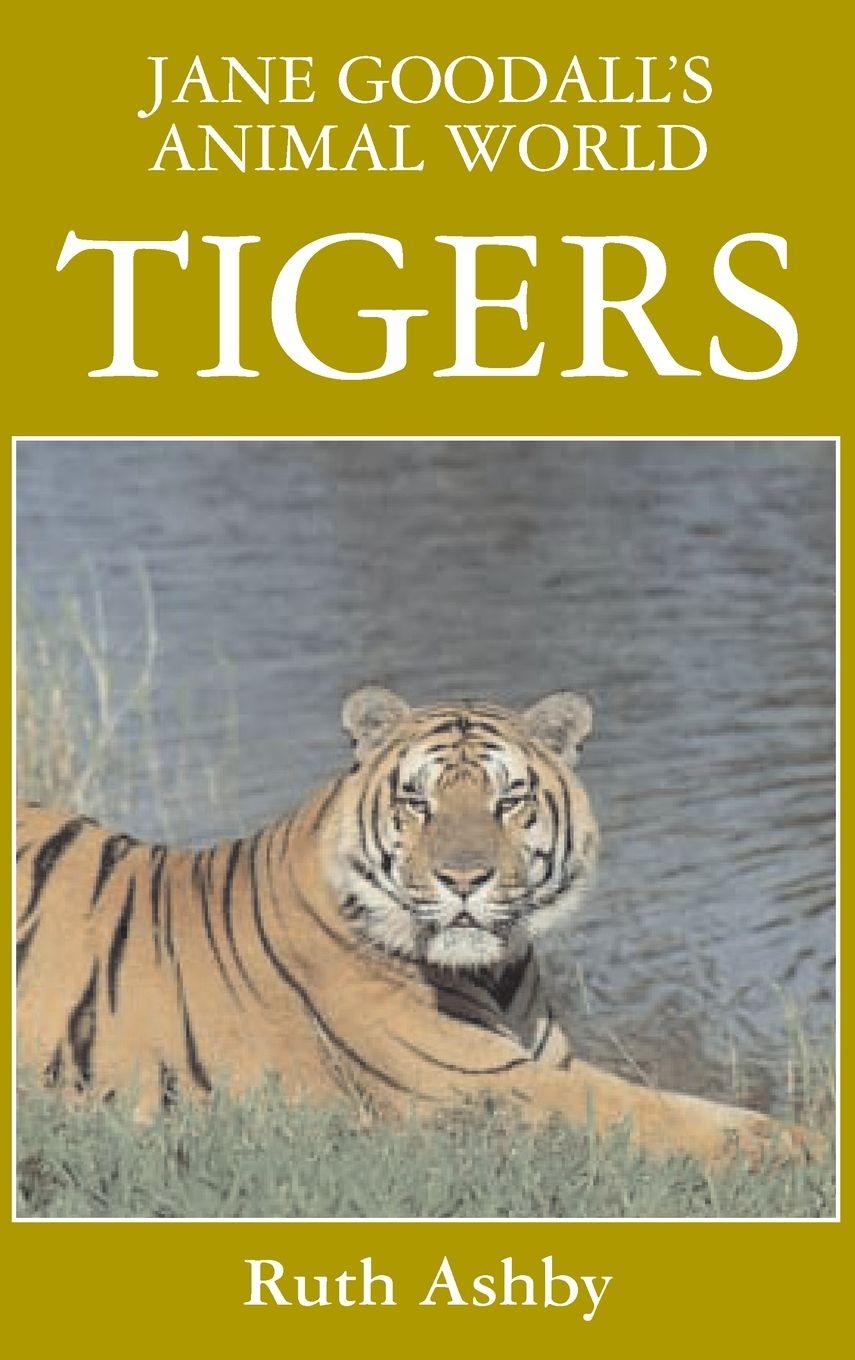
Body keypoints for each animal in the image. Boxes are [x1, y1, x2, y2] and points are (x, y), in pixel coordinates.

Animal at [16, 686, 809, 1163]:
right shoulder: (482, 1083)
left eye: (508, 800)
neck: (497, 968)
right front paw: (800, 1150)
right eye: (417, 803)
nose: (464, 879)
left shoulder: (547, 1061)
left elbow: (676, 1100)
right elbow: (646, 1113)